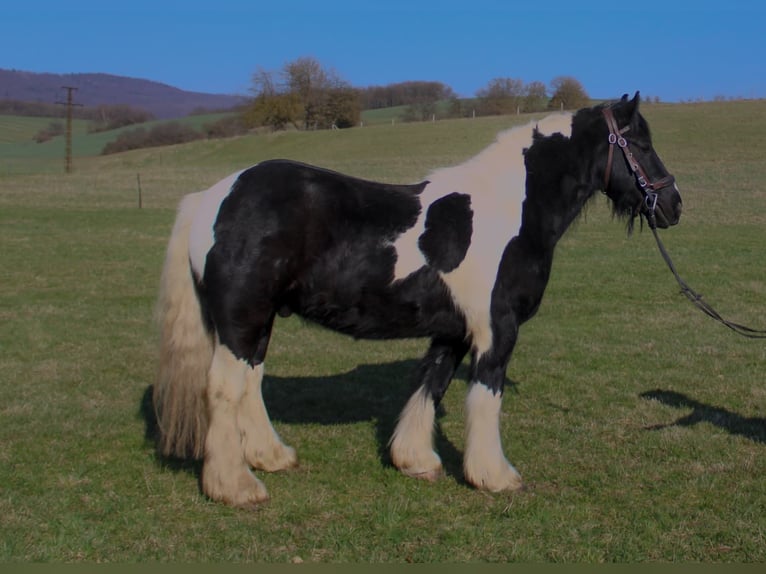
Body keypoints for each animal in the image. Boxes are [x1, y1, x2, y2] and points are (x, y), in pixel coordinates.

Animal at [153, 92, 683, 508]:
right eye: (640, 144)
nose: (674, 205)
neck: (510, 210)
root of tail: (213, 197)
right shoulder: (498, 329)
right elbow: (485, 396)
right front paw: (494, 476)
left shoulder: (453, 331)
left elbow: (432, 383)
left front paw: (414, 460)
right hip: (242, 320)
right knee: (224, 389)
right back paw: (236, 487)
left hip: (258, 323)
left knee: (251, 383)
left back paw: (271, 457)